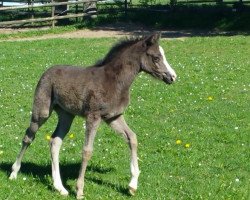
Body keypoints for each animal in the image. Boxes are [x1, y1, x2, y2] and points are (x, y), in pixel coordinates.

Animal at [9, 32, 177, 198]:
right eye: (156, 57)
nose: (172, 77)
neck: (115, 81)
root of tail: (47, 71)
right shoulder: (93, 117)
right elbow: (87, 150)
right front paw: (79, 190)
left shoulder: (113, 117)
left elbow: (132, 138)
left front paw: (132, 185)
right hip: (42, 112)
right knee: (28, 137)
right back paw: (14, 173)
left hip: (66, 115)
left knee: (55, 141)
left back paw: (60, 187)